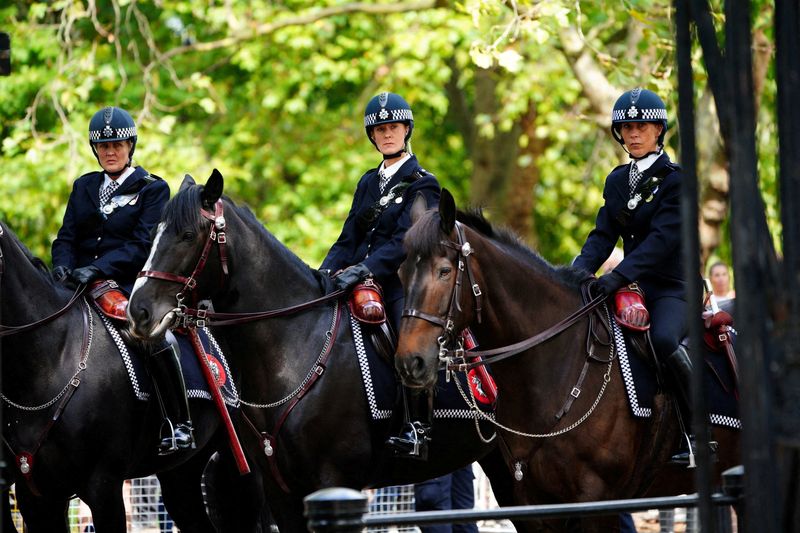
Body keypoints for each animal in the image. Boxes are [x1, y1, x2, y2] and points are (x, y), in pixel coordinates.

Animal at [125, 169, 512, 532]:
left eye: (188, 235)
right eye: (155, 233)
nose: (138, 310)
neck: (294, 348)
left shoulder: (335, 480)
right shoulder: (281, 491)